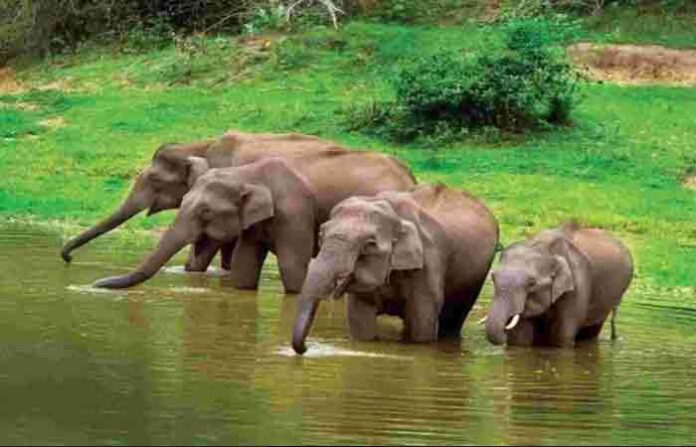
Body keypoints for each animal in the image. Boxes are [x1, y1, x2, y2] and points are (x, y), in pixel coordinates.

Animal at [92, 158, 317, 293]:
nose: (94, 284)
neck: (246, 173)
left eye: (205, 212)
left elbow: (293, 268)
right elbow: (244, 266)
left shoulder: (295, 214)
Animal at [292, 183, 500, 354]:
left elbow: (422, 327)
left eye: (369, 244)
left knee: (453, 321)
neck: (395, 216)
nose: (307, 347)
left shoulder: (428, 263)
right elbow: (360, 323)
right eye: (321, 235)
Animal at [484, 223, 633, 347]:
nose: (505, 328)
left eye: (531, 283)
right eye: (493, 278)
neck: (543, 248)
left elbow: (562, 336)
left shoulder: (578, 284)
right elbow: (520, 339)